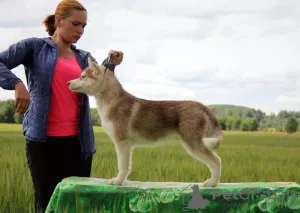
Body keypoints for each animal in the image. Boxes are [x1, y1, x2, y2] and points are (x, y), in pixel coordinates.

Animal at [67, 57, 223, 187]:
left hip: (193, 143)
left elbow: (122, 166)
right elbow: (126, 166)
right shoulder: (127, 145)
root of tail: (200, 104)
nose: (68, 82)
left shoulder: (122, 142)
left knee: (216, 161)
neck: (112, 102)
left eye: (82, 76)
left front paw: (117, 181)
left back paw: (212, 183)